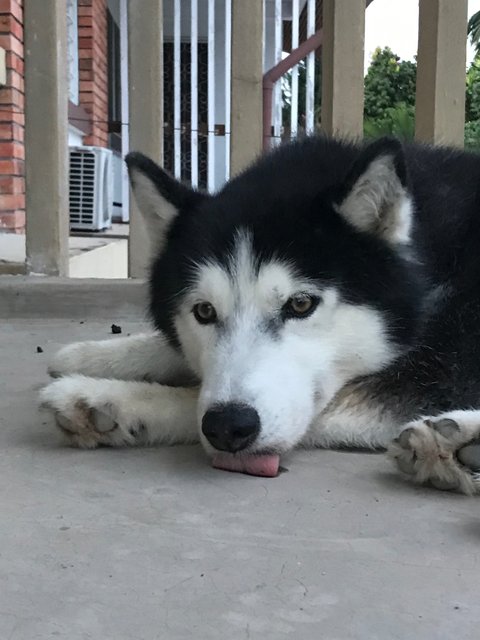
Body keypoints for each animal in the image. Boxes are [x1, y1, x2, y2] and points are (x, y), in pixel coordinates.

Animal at [39, 138, 480, 490]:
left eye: (300, 304)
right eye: (204, 311)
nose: (227, 427)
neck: (433, 261)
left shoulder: (449, 369)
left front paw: (104, 397)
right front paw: (94, 356)